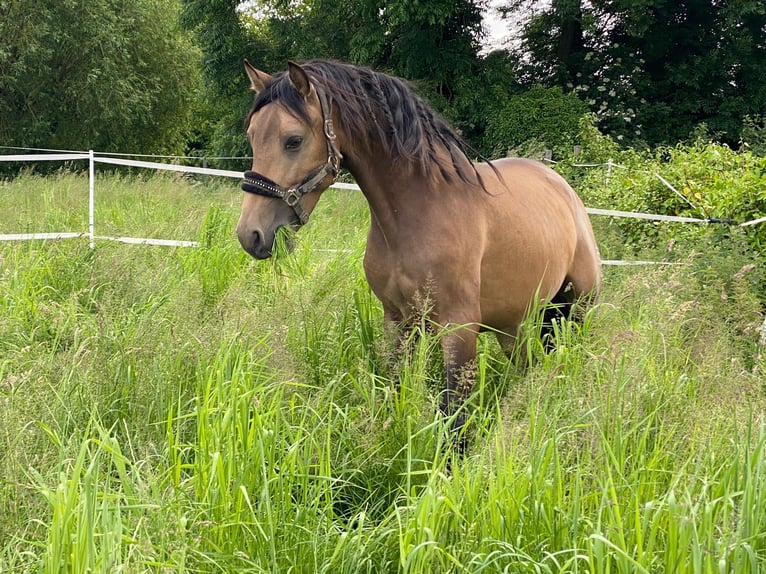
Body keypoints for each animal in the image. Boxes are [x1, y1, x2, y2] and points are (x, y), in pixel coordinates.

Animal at [237, 58, 604, 446]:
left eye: (293, 140)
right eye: (252, 136)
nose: (251, 234)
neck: (419, 210)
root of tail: (564, 189)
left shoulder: (459, 329)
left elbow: (453, 417)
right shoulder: (398, 322)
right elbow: (397, 387)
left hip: (577, 309)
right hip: (515, 323)